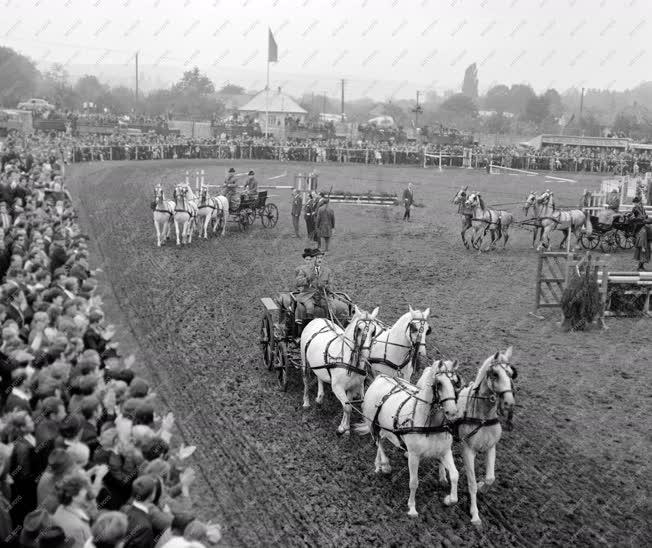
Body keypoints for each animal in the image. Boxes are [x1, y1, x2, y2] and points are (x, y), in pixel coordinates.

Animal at [302, 306, 380, 434]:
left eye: (374, 331)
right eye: (359, 329)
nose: (366, 353)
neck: (349, 362)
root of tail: (317, 319)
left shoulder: (353, 387)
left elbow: (348, 407)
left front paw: (345, 427)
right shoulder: (337, 387)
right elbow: (347, 407)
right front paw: (343, 428)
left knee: (319, 377)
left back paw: (320, 397)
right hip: (304, 361)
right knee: (306, 380)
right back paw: (306, 402)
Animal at [356, 362, 458, 516]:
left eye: (456, 383)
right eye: (439, 384)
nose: (452, 412)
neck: (430, 427)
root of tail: (380, 377)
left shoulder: (445, 452)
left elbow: (454, 475)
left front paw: (449, 499)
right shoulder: (414, 456)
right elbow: (414, 482)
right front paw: (412, 508)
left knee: (381, 440)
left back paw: (379, 463)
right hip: (372, 422)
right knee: (378, 442)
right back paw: (383, 465)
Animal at [450, 346, 516, 528]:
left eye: (511, 373)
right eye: (495, 374)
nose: (509, 403)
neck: (483, 418)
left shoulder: (491, 448)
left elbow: (490, 478)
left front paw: (482, 487)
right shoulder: (468, 450)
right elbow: (471, 483)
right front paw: (475, 514)